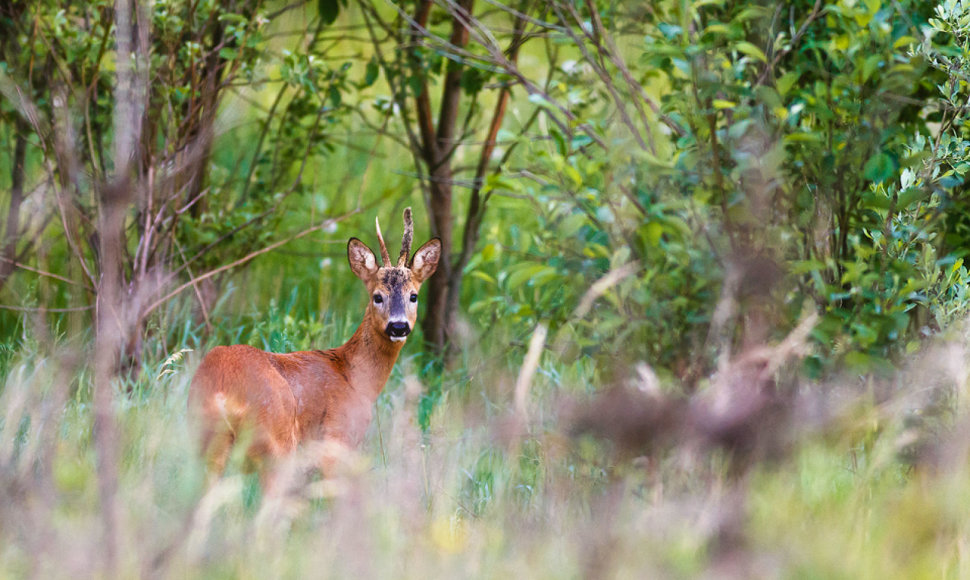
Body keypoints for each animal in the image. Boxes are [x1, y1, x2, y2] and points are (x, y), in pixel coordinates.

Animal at [186, 208, 442, 480]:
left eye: (413, 296)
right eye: (377, 296)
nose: (398, 326)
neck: (353, 376)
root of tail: (223, 390)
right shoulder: (337, 438)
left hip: (205, 444)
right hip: (277, 443)